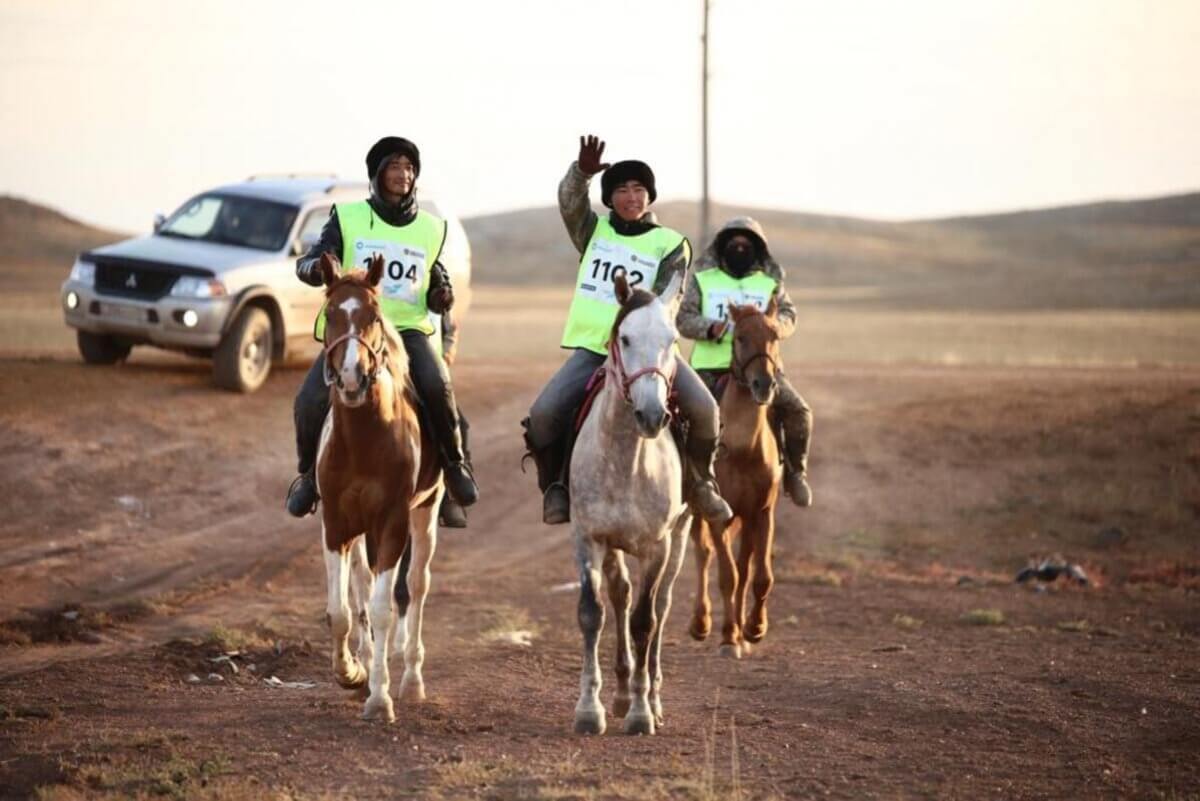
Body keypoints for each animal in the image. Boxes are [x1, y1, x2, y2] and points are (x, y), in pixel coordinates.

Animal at [312, 253, 444, 724]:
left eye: (372, 315)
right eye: (331, 313)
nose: (351, 378)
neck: (364, 440)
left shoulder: (391, 523)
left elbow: (386, 608)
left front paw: (380, 698)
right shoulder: (335, 524)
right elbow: (341, 611)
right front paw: (351, 673)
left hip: (426, 513)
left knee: (417, 585)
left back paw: (411, 680)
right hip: (359, 530)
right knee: (361, 587)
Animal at [566, 272, 691, 733]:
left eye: (673, 339)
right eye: (625, 336)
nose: (653, 416)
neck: (626, 460)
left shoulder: (656, 546)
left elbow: (644, 621)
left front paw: (641, 713)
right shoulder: (589, 538)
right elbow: (593, 613)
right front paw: (590, 709)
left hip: (680, 537)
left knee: (662, 606)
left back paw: (651, 696)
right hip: (616, 545)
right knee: (620, 595)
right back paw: (620, 693)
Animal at [686, 299, 787, 657]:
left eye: (775, 335)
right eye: (740, 337)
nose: (764, 385)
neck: (743, 450)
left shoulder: (762, 513)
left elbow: (758, 576)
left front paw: (754, 629)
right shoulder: (720, 516)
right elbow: (726, 575)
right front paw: (729, 637)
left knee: (743, 567)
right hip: (697, 511)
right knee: (703, 554)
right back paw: (701, 624)